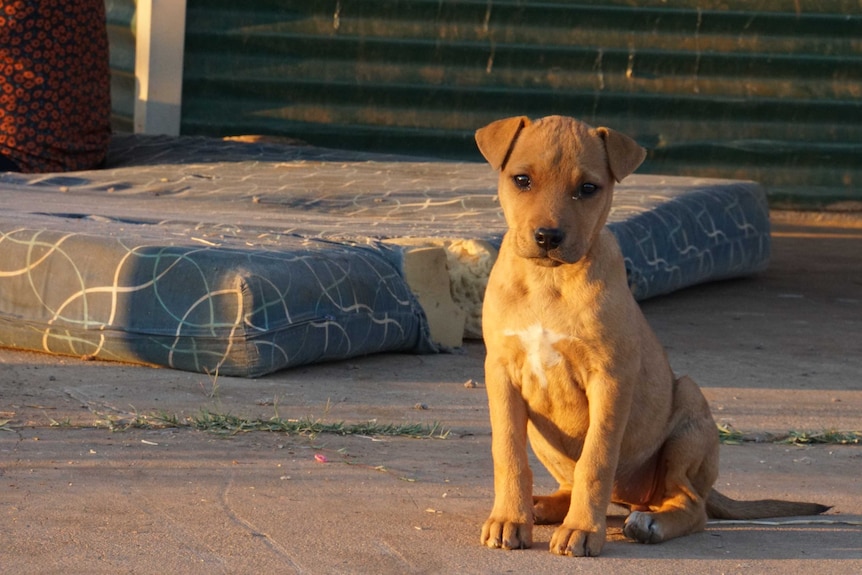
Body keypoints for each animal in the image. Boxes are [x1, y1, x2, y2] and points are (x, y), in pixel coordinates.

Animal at [480, 117, 832, 560]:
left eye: (588, 188)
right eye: (522, 180)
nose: (548, 237)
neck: (549, 280)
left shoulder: (610, 379)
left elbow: (596, 460)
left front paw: (582, 530)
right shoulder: (502, 374)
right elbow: (508, 454)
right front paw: (509, 519)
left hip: (689, 410)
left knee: (688, 503)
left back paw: (650, 523)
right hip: (547, 439)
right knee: (571, 483)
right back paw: (541, 506)